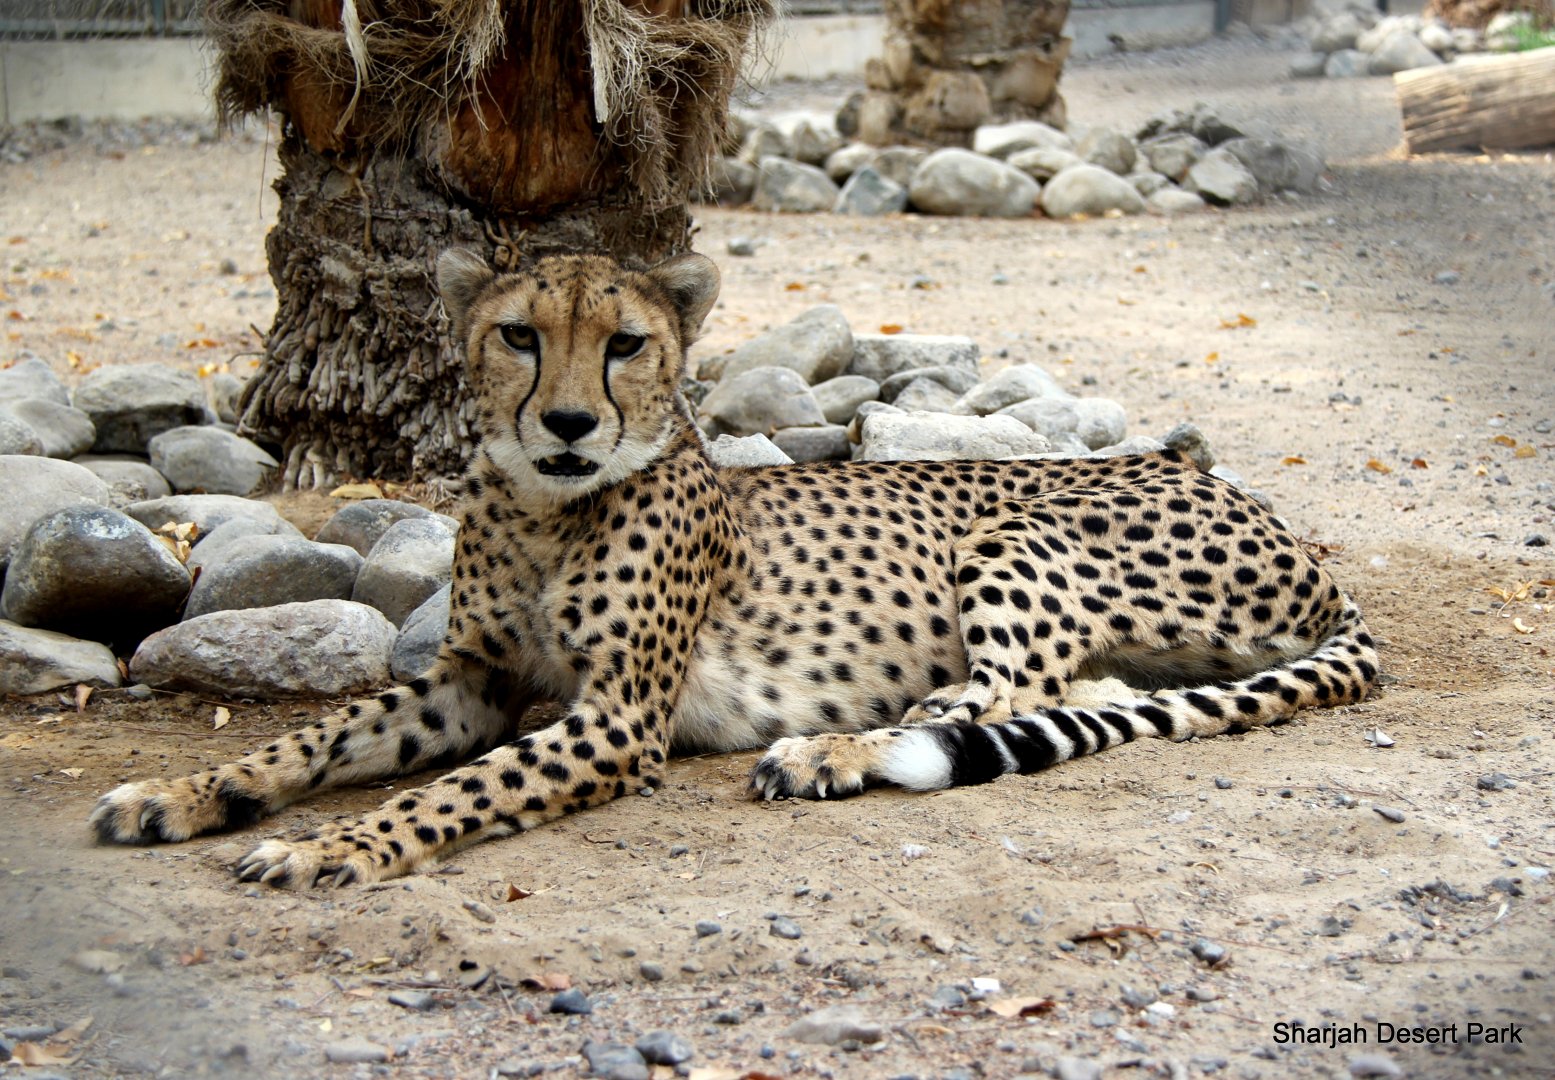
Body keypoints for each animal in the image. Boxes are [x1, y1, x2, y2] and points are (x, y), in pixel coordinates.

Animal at [91, 249, 1379, 888]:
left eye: (626, 344)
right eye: (518, 335)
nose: (568, 423)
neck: (544, 507)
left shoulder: (616, 719)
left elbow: (448, 792)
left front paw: (333, 846)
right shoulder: (468, 685)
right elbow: (315, 738)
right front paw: (189, 793)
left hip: (1016, 528)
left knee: (1007, 689)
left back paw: (830, 751)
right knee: (1073, 690)